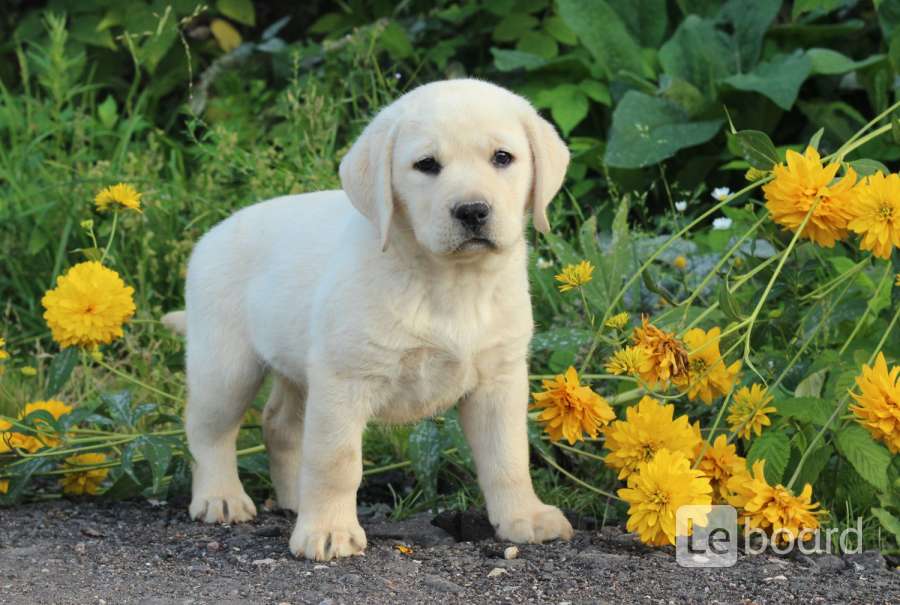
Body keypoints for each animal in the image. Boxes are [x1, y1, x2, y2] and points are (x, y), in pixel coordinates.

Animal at [164, 78, 572, 560]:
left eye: (502, 158)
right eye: (426, 165)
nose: (472, 210)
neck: (448, 282)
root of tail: (212, 234)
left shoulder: (500, 379)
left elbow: (508, 457)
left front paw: (525, 516)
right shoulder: (344, 380)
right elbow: (336, 461)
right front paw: (328, 531)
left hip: (299, 368)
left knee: (280, 425)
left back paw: (296, 500)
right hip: (226, 366)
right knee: (208, 430)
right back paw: (221, 497)